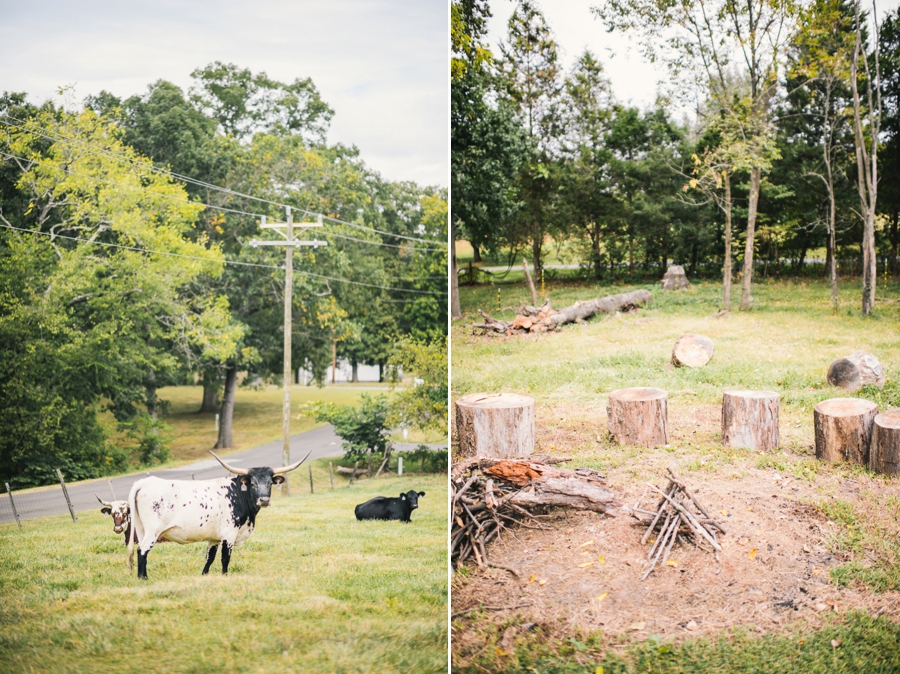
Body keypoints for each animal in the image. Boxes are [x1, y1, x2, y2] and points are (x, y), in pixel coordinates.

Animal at [126, 448, 310, 576]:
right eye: (253, 483)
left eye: (270, 483)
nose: (264, 500)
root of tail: (144, 482)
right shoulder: (229, 534)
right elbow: (225, 557)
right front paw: (225, 575)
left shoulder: (213, 537)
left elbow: (210, 557)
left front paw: (204, 575)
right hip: (153, 531)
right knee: (142, 551)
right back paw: (143, 578)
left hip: (141, 529)